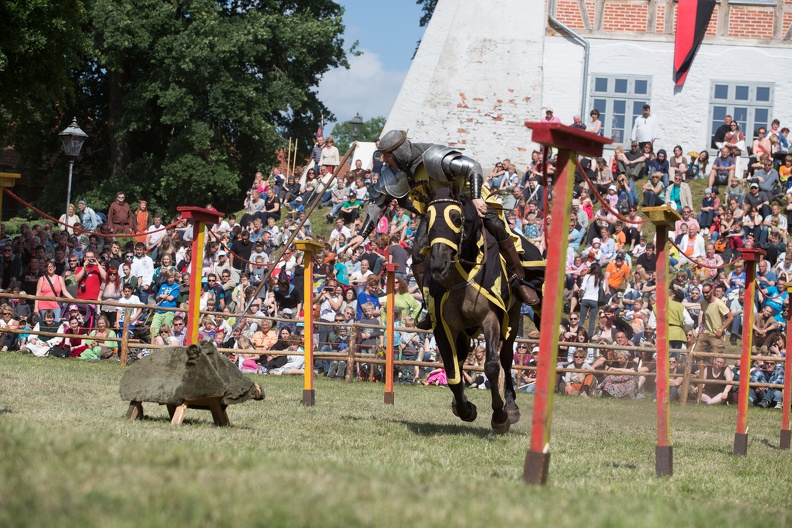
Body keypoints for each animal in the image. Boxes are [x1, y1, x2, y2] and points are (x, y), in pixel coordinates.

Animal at [424, 186, 540, 434]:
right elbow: (453, 373)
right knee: (461, 360)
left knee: (506, 358)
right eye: (427, 219)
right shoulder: (444, 327)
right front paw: (465, 409)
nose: (438, 264)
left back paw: (511, 406)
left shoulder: (491, 319)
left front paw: (500, 416)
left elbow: (492, 366)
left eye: (457, 218)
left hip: (512, 318)